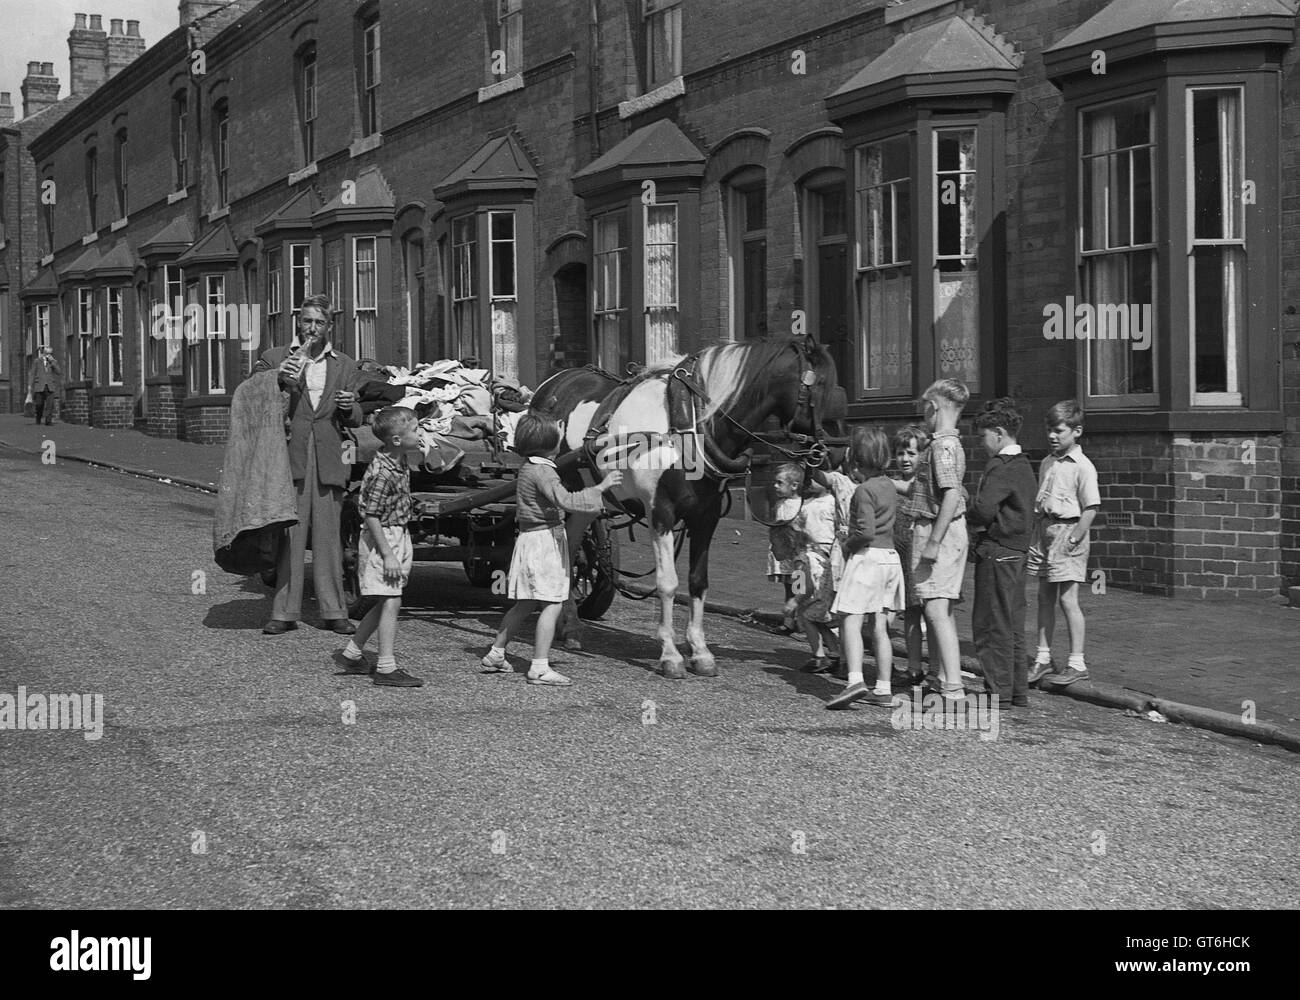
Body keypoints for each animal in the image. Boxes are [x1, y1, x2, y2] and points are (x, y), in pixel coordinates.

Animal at [530, 335, 847, 676]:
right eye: (822, 384)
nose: (838, 451)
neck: (687, 425)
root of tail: (551, 384)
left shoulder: (706, 516)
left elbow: (698, 582)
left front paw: (700, 652)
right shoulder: (661, 513)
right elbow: (668, 583)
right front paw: (670, 654)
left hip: (582, 501)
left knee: (572, 550)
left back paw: (570, 627)